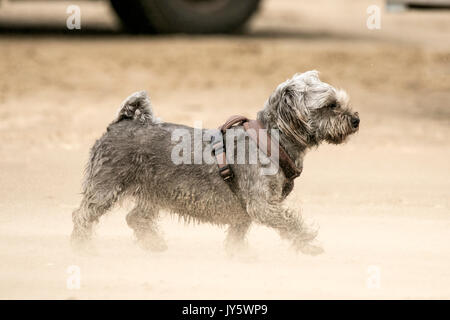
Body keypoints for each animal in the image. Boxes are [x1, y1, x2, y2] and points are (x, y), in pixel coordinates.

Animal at [71, 70, 358, 255]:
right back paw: (82, 247)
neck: (271, 141)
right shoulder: (262, 205)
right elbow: (291, 223)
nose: (356, 119)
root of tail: (122, 121)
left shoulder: (248, 208)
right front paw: (309, 243)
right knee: (82, 216)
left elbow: (238, 233)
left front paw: (237, 253)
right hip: (106, 189)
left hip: (156, 193)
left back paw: (153, 244)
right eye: (331, 105)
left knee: (135, 218)